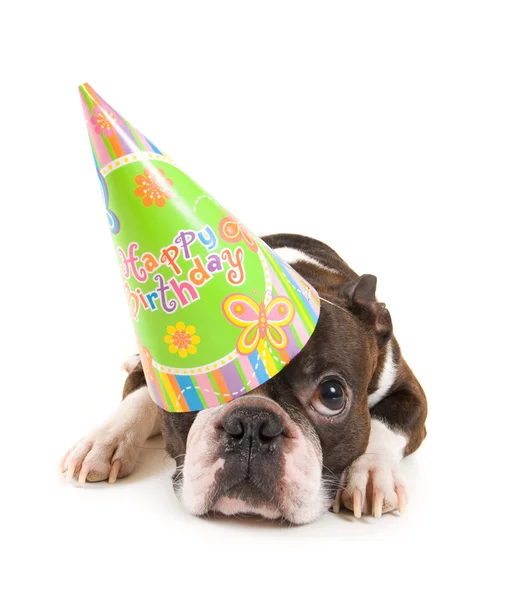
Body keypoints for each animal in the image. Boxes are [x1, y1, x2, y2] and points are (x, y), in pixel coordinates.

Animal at [61, 234, 428, 524]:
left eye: (332, 395)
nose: (252, 422)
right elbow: (137, 397)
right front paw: (105, 440)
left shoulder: (411, 393)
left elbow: (387, 425)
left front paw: (370, 473)